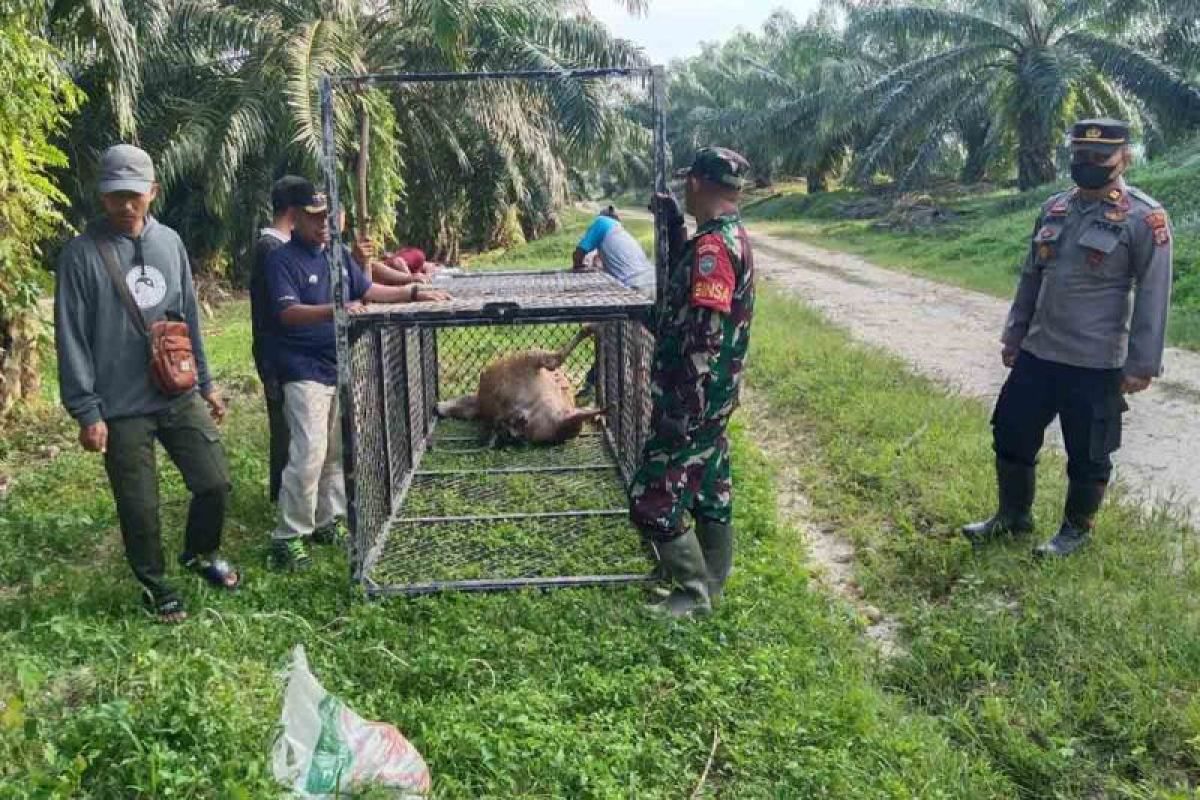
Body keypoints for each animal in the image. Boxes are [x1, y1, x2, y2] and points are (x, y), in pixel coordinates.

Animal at [319, 67, 672, 594]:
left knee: (569, 403)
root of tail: (511, 415)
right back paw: (595, 374)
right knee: (560, 369)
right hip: (531, 364)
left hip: (541, 397)